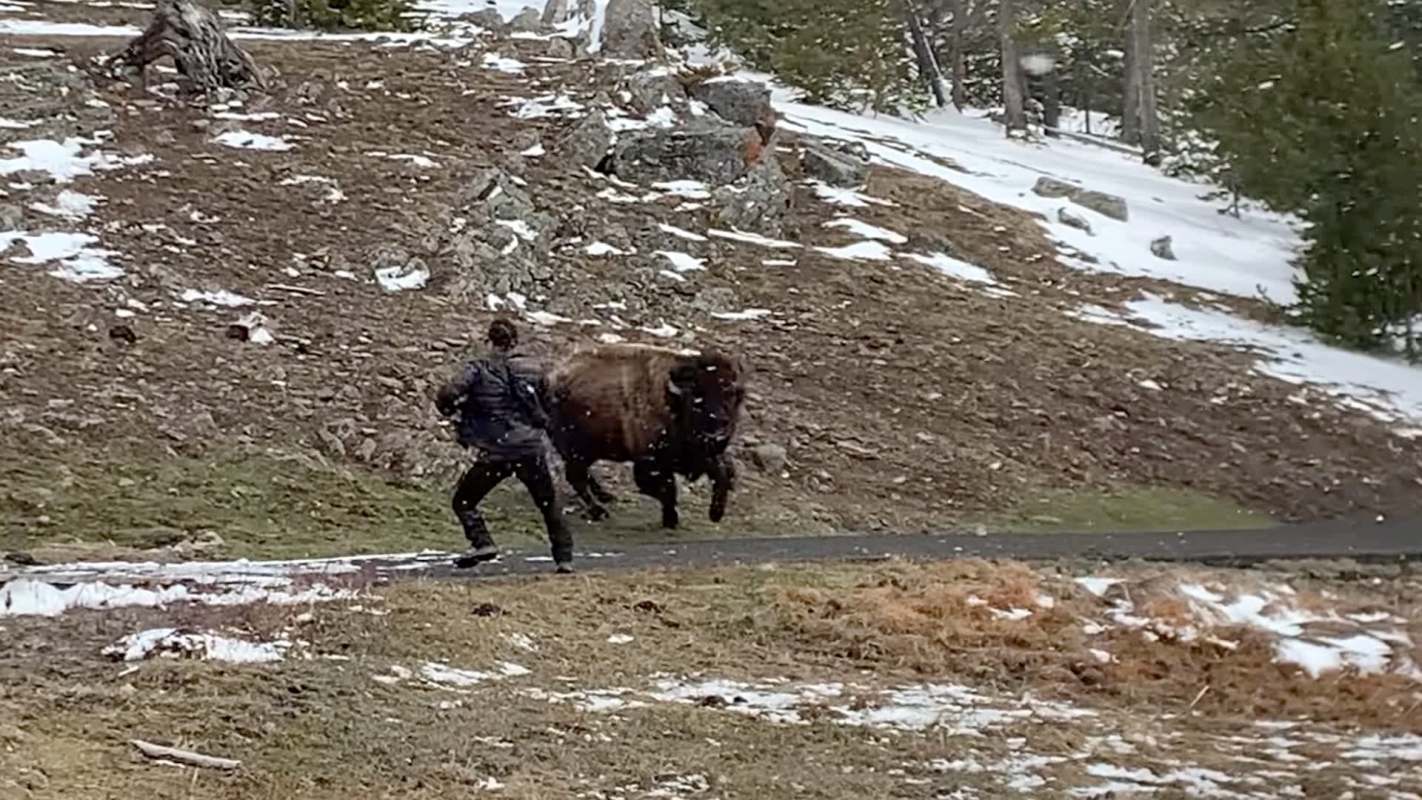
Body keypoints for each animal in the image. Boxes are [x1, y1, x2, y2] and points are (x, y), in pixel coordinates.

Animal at [542, 343, 748, 529]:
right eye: (698, 396)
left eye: (730, 393)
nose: (719, 424)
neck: (673, 401)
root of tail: (551, 381)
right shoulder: (649, 464)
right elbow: (666, 488)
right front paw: (671, 520)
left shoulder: (702, 457)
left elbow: (722, 474)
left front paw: (715, 514)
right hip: (579, 450)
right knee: (575, 476)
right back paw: (598, 510)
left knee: (582, 474)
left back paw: (605, 496)